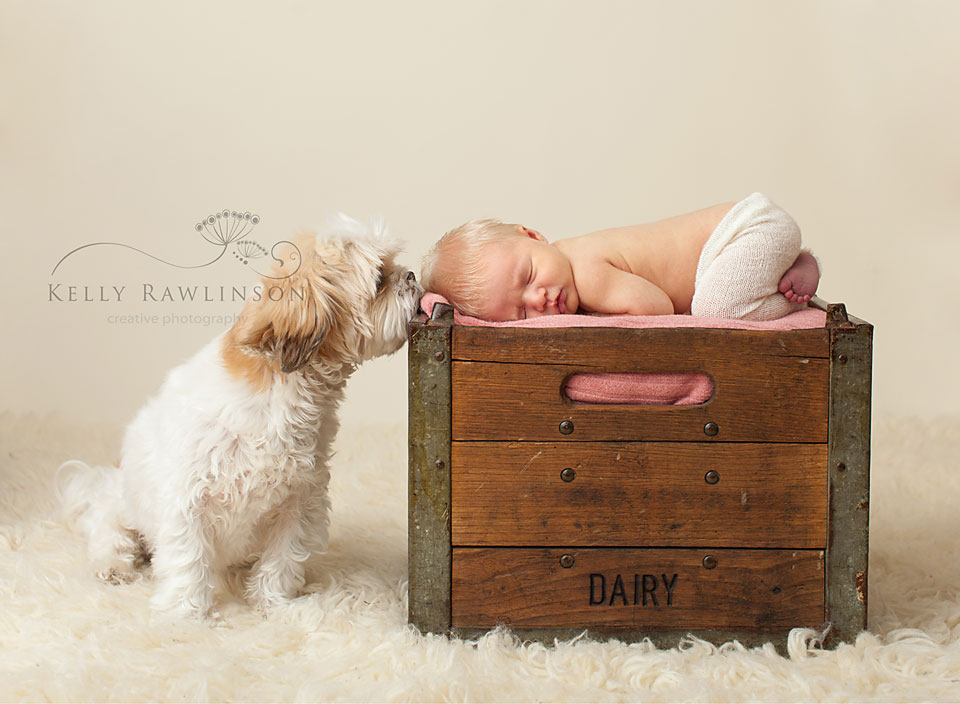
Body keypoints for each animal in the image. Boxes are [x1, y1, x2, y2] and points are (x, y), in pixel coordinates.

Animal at [60, 217, 420, 620]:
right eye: (379, 278)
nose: (411, 275)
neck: (284, 388)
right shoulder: (187, 499)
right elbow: (188, 559)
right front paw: (184, 615)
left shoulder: (299, 502)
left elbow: (282, 561)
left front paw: (275, 607)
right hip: (119, 505)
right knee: (106, 531)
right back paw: (112, 565)